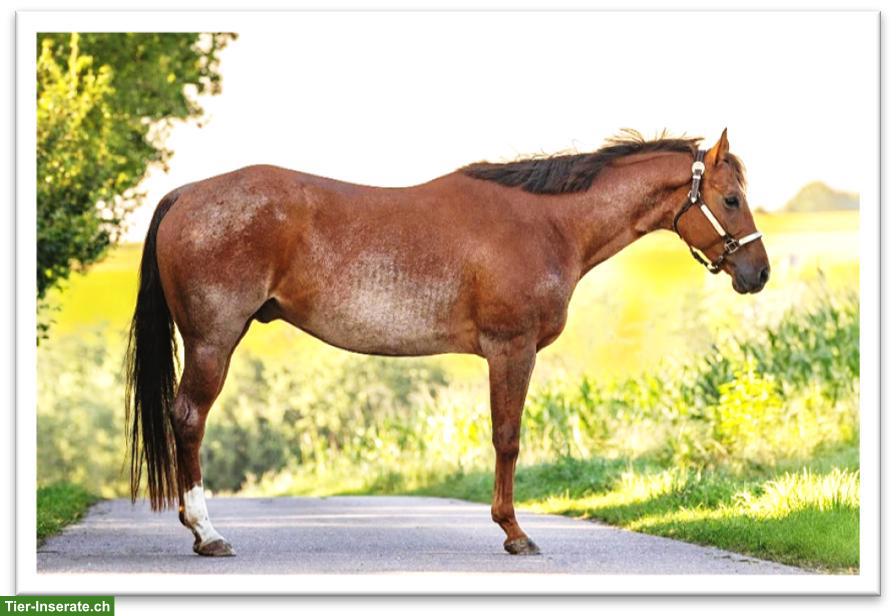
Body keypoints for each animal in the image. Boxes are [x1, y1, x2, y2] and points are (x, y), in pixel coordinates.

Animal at [126, 129, 769, 557]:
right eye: (730, 199)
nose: (758, 273)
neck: (547, 222)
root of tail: (186, 193)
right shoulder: (512, 349)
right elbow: (507, 438)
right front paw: (515, 532)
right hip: (212, 342)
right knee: (189, 419)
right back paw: (207, 533)